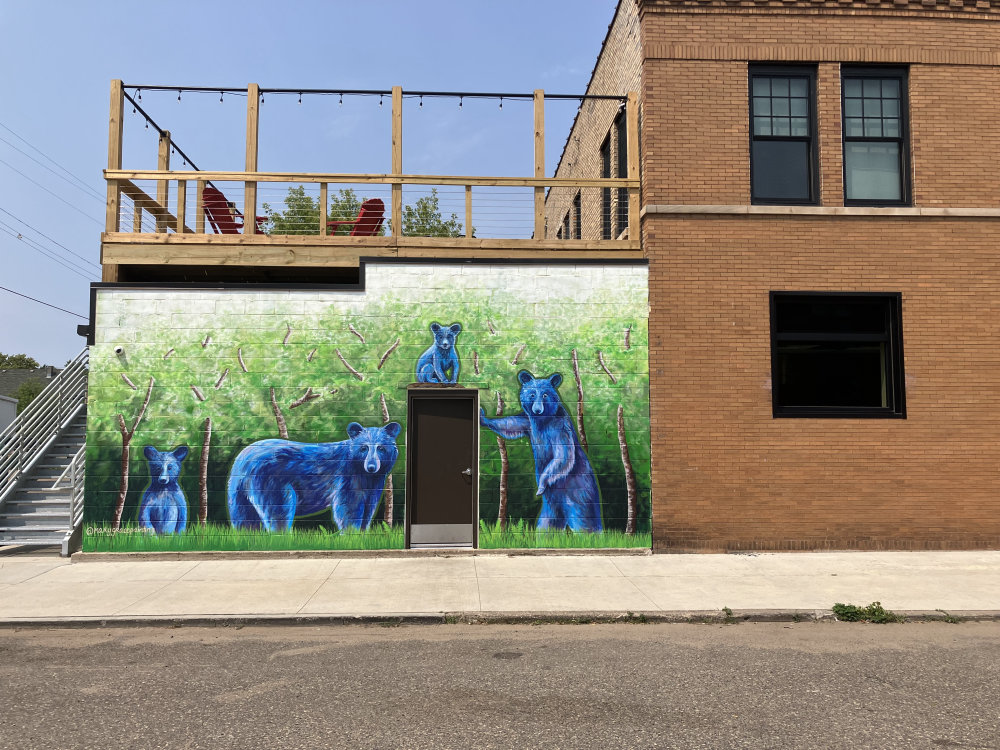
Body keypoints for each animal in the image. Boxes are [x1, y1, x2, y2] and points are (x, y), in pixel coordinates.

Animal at [227, 424, 398, 536]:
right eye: (364, 448)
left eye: (381, 448)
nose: (371, 466)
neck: (363, 472)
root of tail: (242, 460)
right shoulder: (348, 476)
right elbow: (349, 506)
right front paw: (351, 533)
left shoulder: (374, 484)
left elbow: (369, 508)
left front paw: (362, 533)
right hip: (269, 482)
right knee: (279, 510)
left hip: (238, 492)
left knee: (245, 517)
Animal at [482, 370, 600, 536]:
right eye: (532, 394)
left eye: (545, 395)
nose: (537, 409)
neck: (542, 420)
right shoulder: (528, 422)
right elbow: (510, 423)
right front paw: (483, 418)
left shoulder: (558, 427)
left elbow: (563, 455)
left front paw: (542, 484)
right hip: (552, 505)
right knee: (547, 525)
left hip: (580, 489)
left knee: (585, 520)